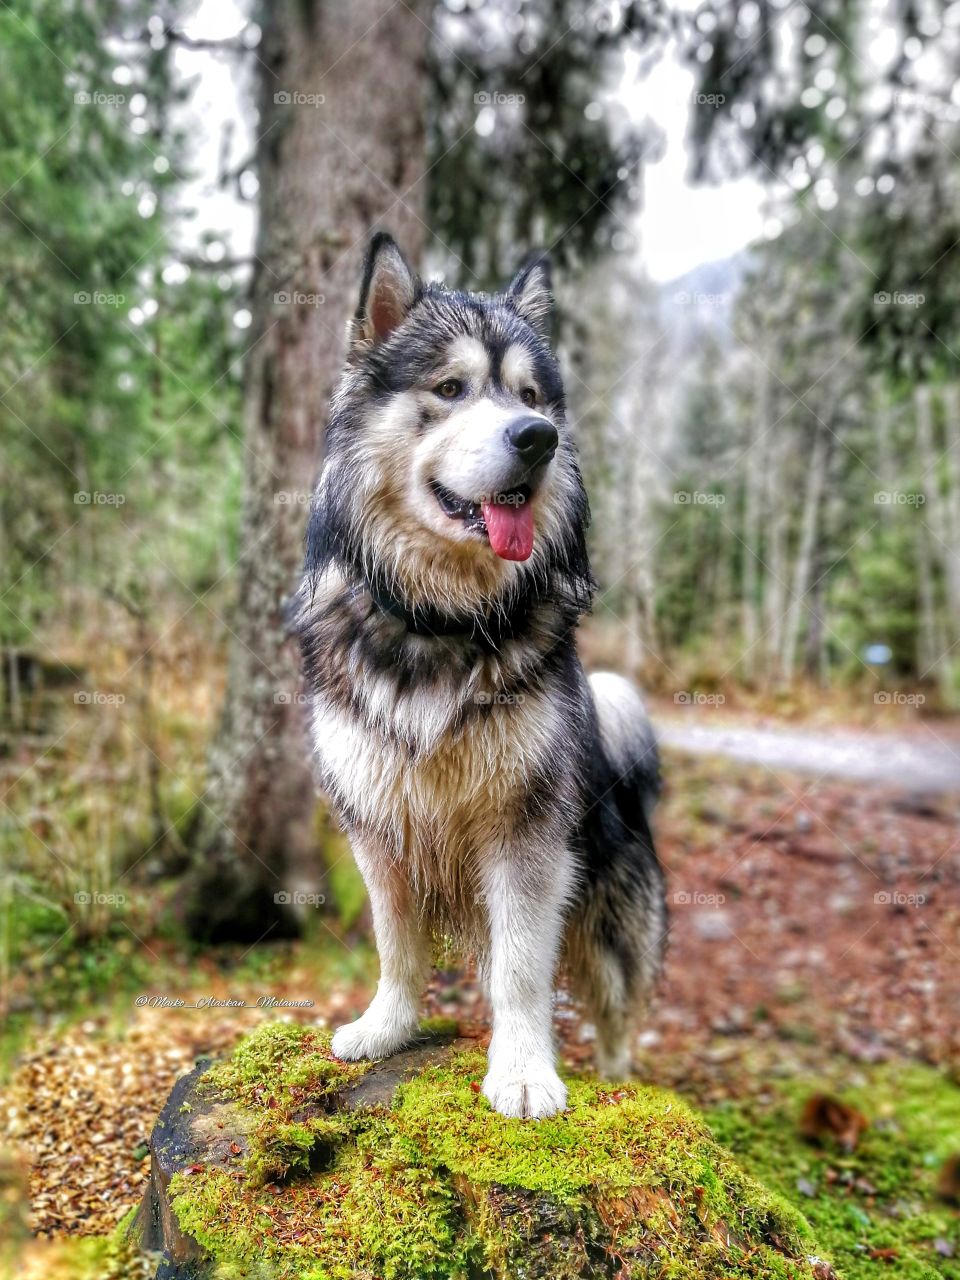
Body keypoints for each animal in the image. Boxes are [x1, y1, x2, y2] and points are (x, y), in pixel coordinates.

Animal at [291, 233, 666, 1118]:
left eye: (530, 395)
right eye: (451, 389)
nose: (538, 438)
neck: (438, 621)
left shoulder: (525, 837)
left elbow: (525, 970)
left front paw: (524, 1071)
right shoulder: (378, 827)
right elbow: (397, 947)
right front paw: (388, 1027)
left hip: (611, 923)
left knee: (613, 1010)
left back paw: (618, 1078)